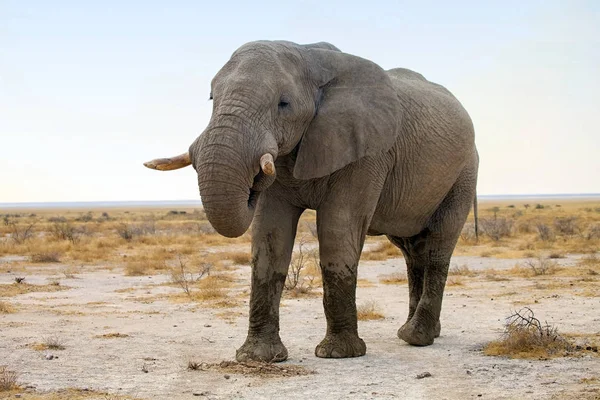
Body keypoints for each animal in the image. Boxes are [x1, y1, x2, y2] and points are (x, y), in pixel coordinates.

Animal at [144, 39, 478, 362]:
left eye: (284, 104)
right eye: (212, 99)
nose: (254, 179)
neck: (307, 56)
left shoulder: (368, 152)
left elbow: (337, 228)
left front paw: (339, 353)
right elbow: (270, 235)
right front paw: (258, 357)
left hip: (464, 173)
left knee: (437, 244)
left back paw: (416, 337)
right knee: (412, 250)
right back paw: (413, 332)